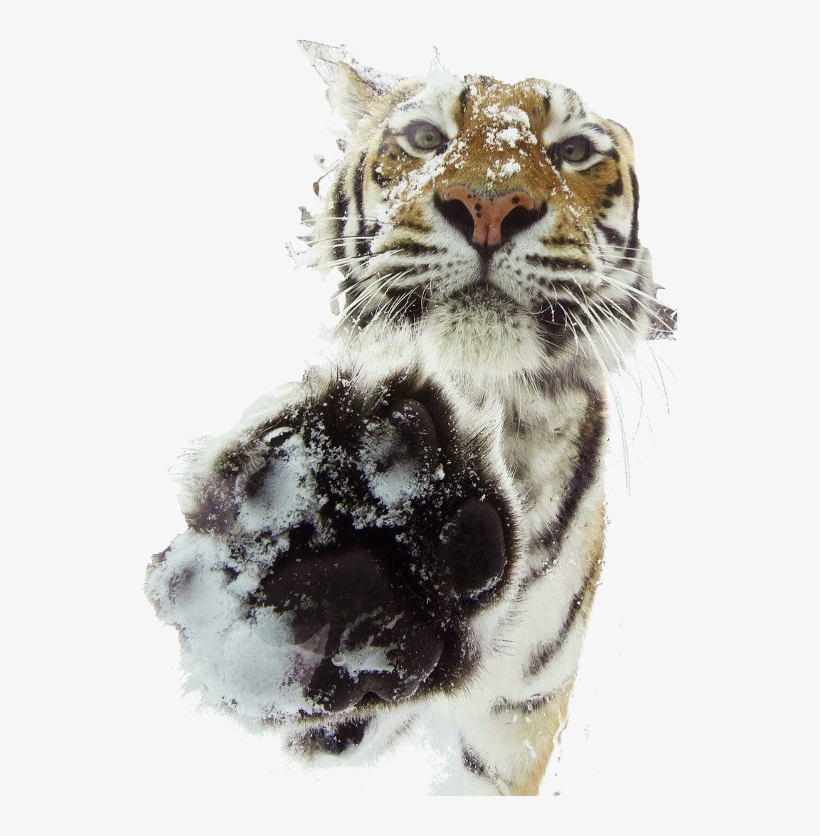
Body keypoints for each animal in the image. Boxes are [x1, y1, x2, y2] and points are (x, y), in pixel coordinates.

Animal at [145, 41, 675, 796]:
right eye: (426, 137)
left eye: (573, 151)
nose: (491, 205)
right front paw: (348, 523)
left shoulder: (515, 722)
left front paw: (385, 521)